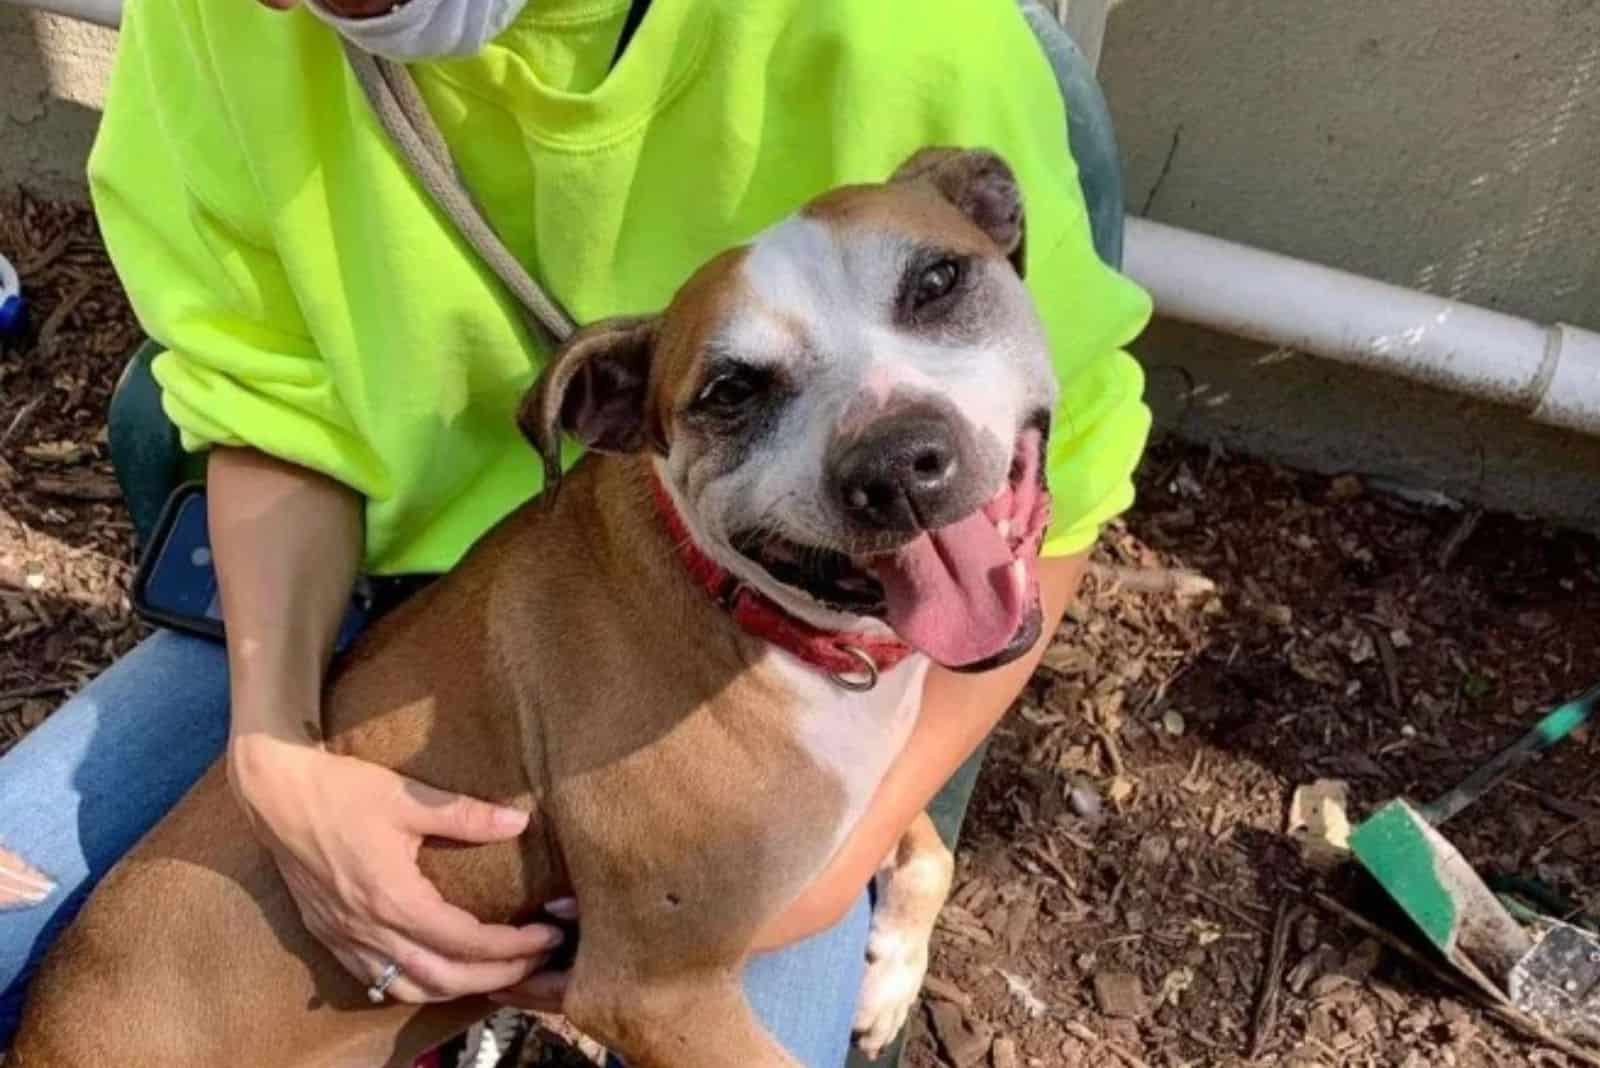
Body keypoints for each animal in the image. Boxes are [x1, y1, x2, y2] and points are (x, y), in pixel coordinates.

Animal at [18, 147, 1062, 1068]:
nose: (896, 461)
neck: (754, 614)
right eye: (730, 391)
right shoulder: (654, 993)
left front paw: (891, 974)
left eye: (936, 281)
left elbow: (930, 848)